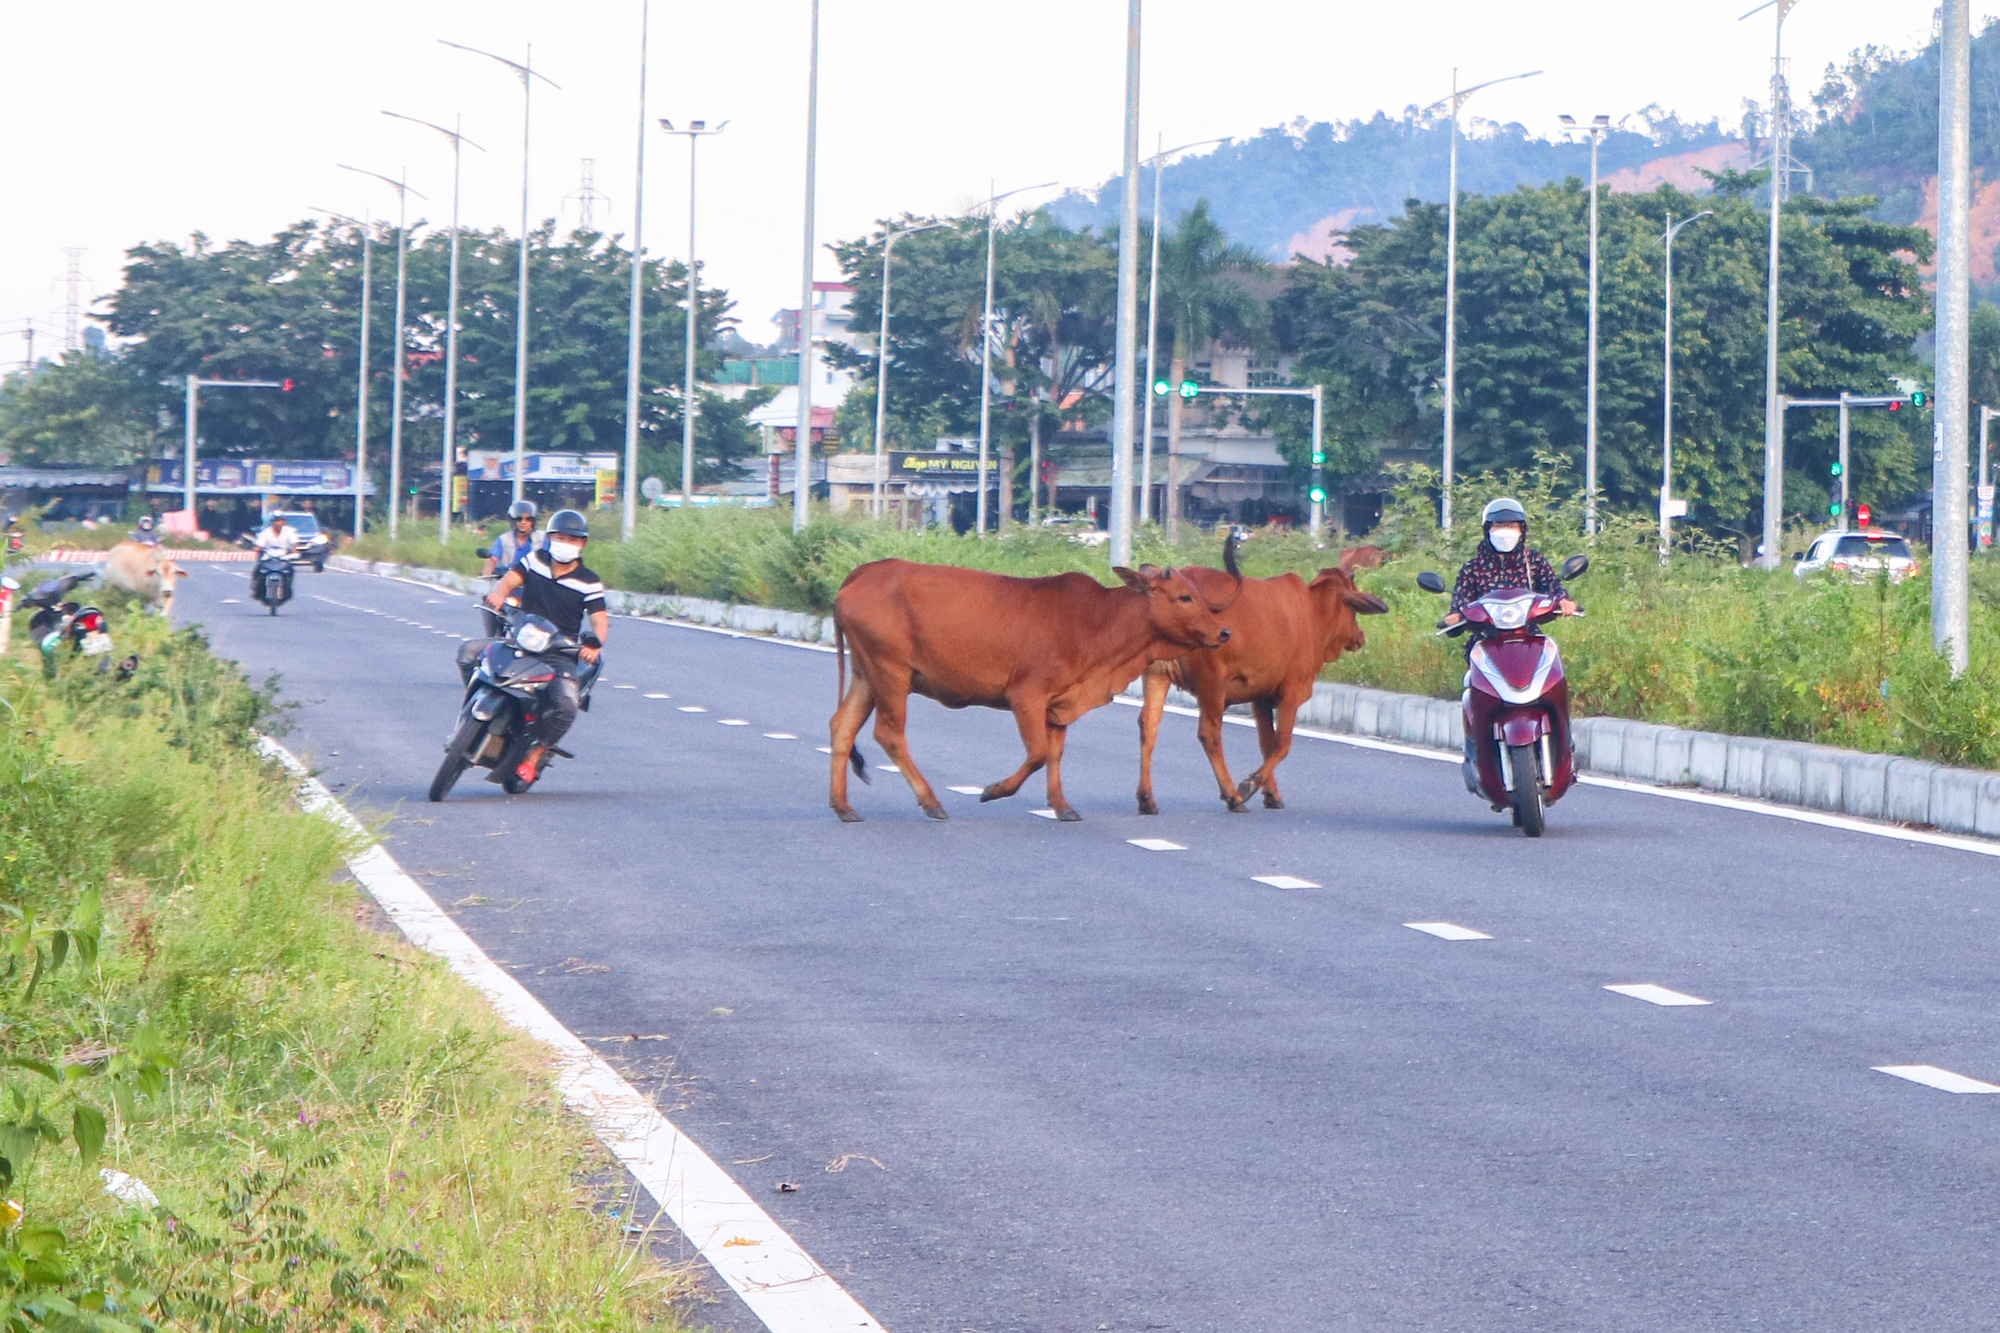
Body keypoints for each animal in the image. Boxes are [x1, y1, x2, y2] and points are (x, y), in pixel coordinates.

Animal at [828, 552, 1232, 820]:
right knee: (889, 734)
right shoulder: (1026, 695)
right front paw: (994, 791)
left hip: (866, 675)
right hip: (890, 672)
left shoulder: (1058, 703)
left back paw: (843, 806)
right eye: (1184, 597)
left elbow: (1054, 754)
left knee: (843, 726)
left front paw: (1062, 806)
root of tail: (863, 572)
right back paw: (931, 802)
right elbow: (1037, 754)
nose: (1223, 632)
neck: (1099, 622)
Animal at [1144, 536, 1392, 808]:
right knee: (1209, 734)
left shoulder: (1260, 696)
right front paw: (1251, 784)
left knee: (1148, 726)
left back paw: (1146, 798)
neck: (1313, 613)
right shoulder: (1292, 691)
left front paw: (1271, 793)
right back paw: (1232, 795)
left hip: (1157, 674)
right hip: (1212, 683)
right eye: (1353, 610)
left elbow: (1266, 743)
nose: (1360, 637)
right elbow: (1282, 744)